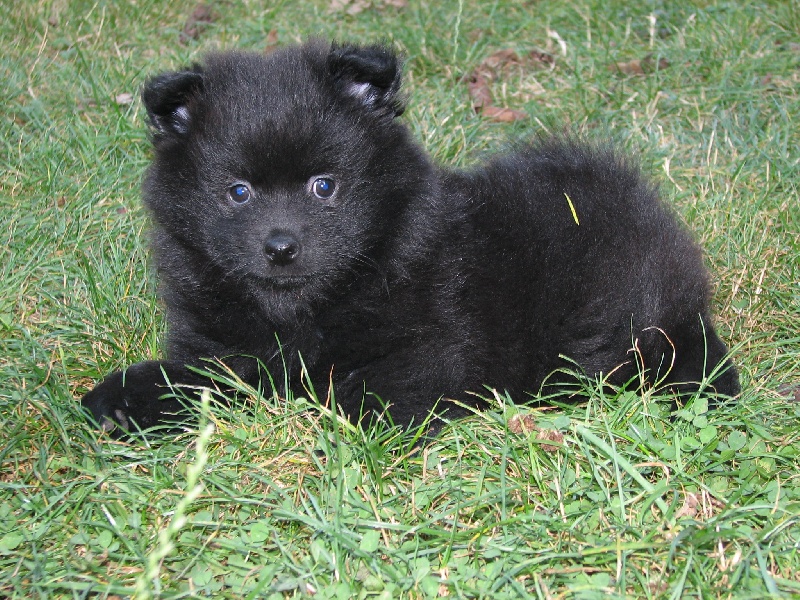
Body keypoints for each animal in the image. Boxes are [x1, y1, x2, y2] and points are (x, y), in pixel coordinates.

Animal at [81, 39, 736, 434]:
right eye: (238, 193)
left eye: (324, 186)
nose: (280, 247)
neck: (301, 310)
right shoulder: (217, 346)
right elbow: (198, 374)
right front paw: (124, 397)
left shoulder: (437, 344)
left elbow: (366, 389)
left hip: (610, 317)